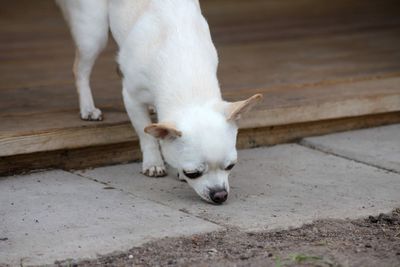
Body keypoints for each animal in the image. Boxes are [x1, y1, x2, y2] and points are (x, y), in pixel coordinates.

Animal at [56, 0, 262, 204]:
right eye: (193, 173)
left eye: (230, 166)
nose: (220, 195)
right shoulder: (131, 99)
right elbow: (145, 134)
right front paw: (153, 162)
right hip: (93, 32)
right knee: (80, 70)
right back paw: (88, 107)